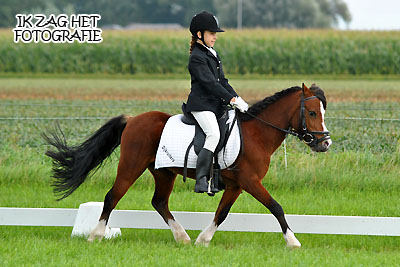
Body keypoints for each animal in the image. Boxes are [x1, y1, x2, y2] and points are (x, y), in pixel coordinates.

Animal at [43, 82, 332, 248]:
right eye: (312, 113)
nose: (325, 143)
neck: (256, 134)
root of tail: (133, 119)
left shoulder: (236, 185)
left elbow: (222, 213)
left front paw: (203, 240)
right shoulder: (250, 181)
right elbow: (276, 207)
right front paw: (293, 241)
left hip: (163, 173)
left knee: (159, 202)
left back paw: (182, 237)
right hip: (130, 166)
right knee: (112, 196)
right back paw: (96, 235)